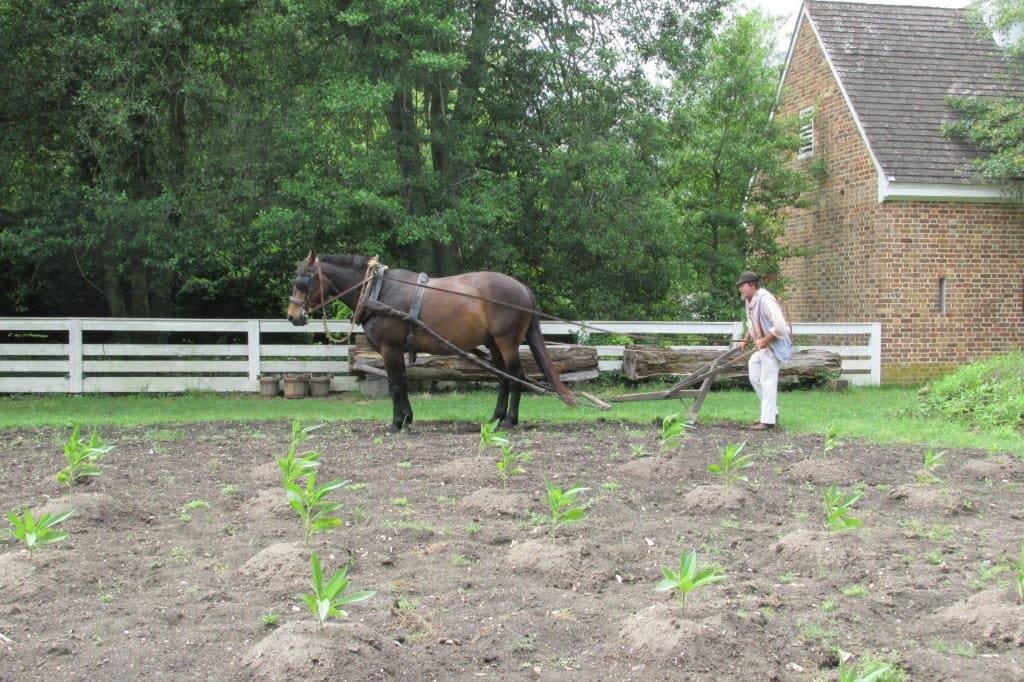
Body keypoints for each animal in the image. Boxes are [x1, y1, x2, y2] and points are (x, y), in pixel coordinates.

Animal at [286, 249, 577, 430]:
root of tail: (522, 288)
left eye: (304, 280)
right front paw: (407, 419)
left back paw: (509, 421)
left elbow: (395, 385)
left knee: (517, 376)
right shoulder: (396, 351)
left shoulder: (389, 349)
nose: (292, 315)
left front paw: (396, 424)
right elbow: (402, 384)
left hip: (507, 341)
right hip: (494, 343)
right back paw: (496, 417)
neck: (378, 291)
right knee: (504, 377)